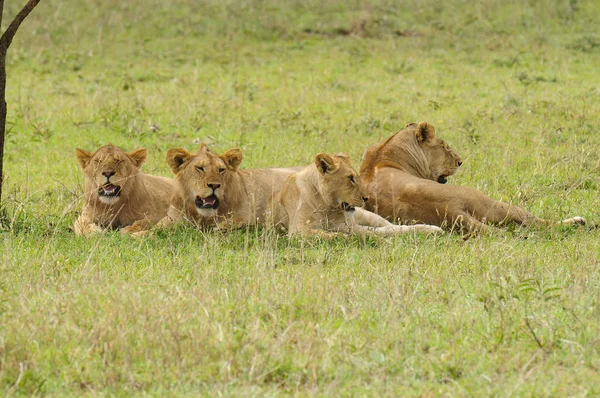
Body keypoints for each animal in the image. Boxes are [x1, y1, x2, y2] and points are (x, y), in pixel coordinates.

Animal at [158, 145, 302, 229]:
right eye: (200, 168)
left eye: (221, 170)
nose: (214, 185)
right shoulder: (172, 217)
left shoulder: (249, 217)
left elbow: (226, 224)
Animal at [274, 152, 442, 236]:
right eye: (350, 178)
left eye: (357, 177)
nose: (366, 198)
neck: (326, 206)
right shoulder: (298, 230)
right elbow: (330, 234)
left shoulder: (348, 226)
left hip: (367, 215)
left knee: (390, 226)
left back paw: (431, 229)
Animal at [358, 122, 584, 233]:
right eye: (445, 146)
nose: (460, 161)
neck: (384, 153)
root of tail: (449, 209)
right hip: (494, 203)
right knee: (537, 222)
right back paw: (577, 222)